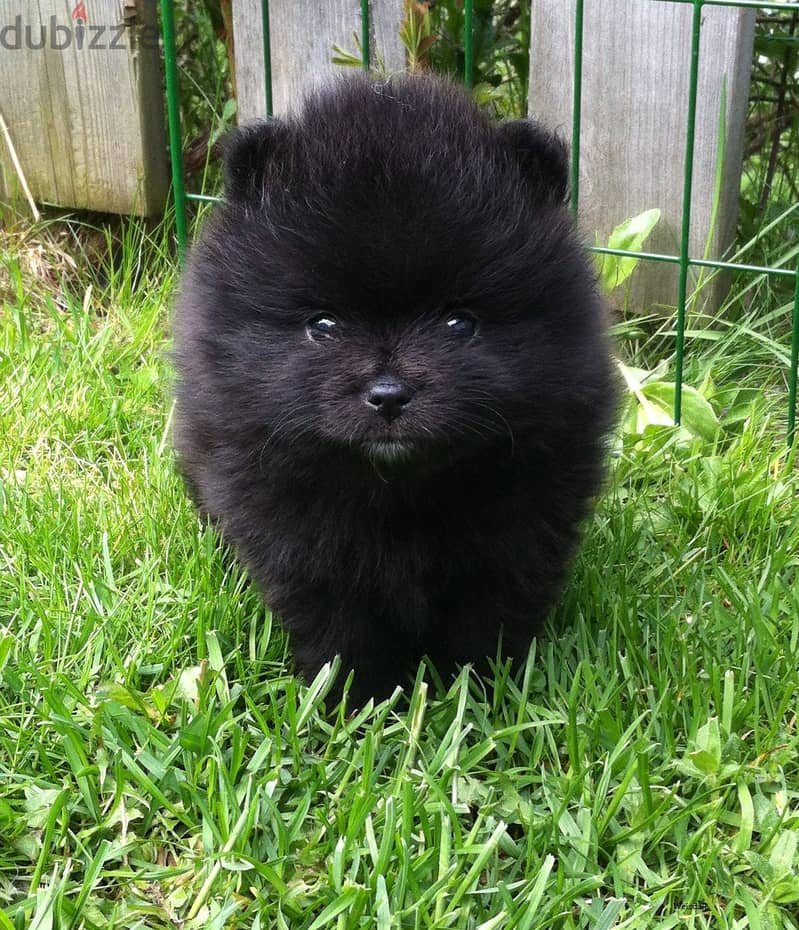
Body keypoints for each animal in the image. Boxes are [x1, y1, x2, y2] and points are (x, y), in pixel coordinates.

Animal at [172, 74, 616, 704]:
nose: (387, 395)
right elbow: (340, 627)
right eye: (323, 324)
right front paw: (355, 702)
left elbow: (487, 620)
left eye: (460, 323)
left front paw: (481, 696)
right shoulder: (304, 545)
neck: (399, 491)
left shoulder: (518, 535)